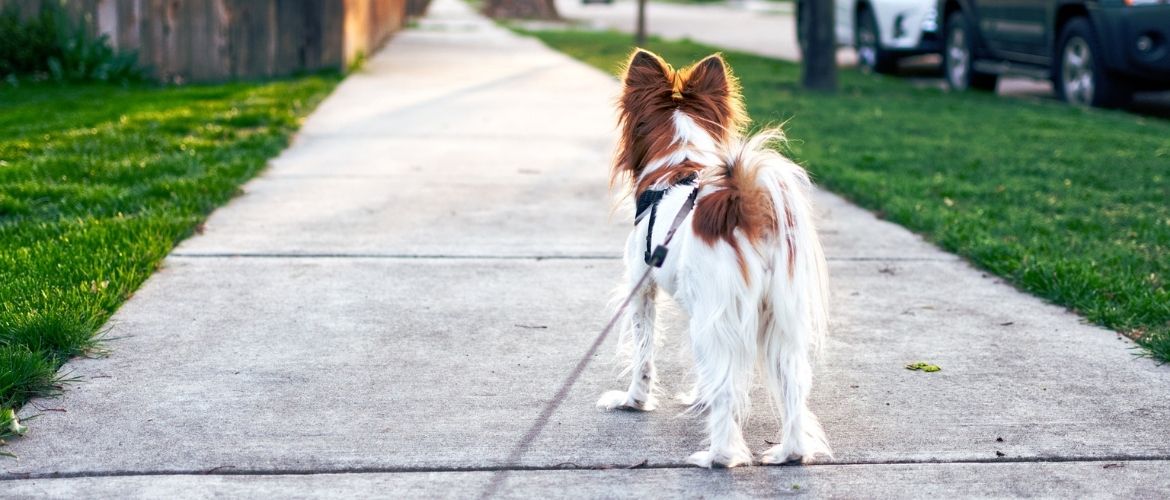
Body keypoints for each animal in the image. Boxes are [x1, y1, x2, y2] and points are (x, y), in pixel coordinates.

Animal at [599, 48, 837, 468]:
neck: (679, 164)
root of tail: (746, 206)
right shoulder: (702, 307)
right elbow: (702, 370)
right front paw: (699, 397)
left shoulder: (642, 289)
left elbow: (644, 354)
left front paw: (633, 401)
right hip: (778, 319)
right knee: (793, 384)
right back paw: (789, 453)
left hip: (721, 314)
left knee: (728, 389)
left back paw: (719, 456)